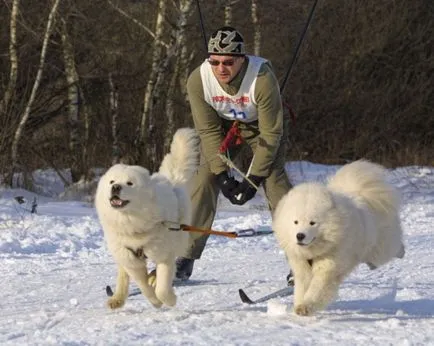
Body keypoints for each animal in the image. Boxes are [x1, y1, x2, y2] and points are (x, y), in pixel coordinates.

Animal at [96, 128, 199, 310]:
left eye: (129, 183)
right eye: (112, 181)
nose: (115, 187)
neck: (131, 222)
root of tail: (171, 179)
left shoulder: (163, 254)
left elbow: (162, 287)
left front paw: (169, 300)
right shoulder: (131, 259)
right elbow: (142, 284)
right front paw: (155, 301)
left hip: (177, 238)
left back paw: (153, 278)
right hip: (122, 253)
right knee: (124, 272)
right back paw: (117, 298)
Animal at [272, 159, 406, 316]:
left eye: (312, 222)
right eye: (295, 222)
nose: (300, 235)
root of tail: (362, 195)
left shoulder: (328, 268)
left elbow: (317, 289)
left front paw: (306, 306)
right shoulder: (301, 268)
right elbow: (301, 288)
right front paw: (299, 305)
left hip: (380, 247)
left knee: (392, 247)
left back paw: (402, 251)